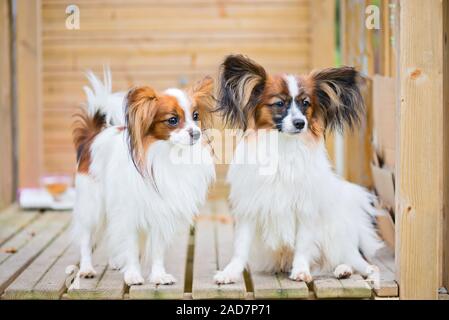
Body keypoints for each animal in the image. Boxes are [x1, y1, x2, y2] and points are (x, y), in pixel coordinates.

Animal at [72, 69, 215, 284]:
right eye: (173, 120)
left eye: (196, 116)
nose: (196, 133)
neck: (167, 155)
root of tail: (93, 137)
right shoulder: (129, 213)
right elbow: (131, 247)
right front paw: (133, 275)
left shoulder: (161, 212)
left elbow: (157, 250)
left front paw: (158, 276)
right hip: (93, 205)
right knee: (85, 238)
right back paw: (87, 268)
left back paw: (115, 262)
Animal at [213, 55, 382, 284]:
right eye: (279, 103)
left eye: (305, 103)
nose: (300, 123)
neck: (283, 146)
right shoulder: (250, 206)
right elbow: (241, 247)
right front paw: (230, 272)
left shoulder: (305, 208)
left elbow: (303, 244)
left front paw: (301, 270)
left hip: (335, 236)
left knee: (351, 259)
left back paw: (349, 269)